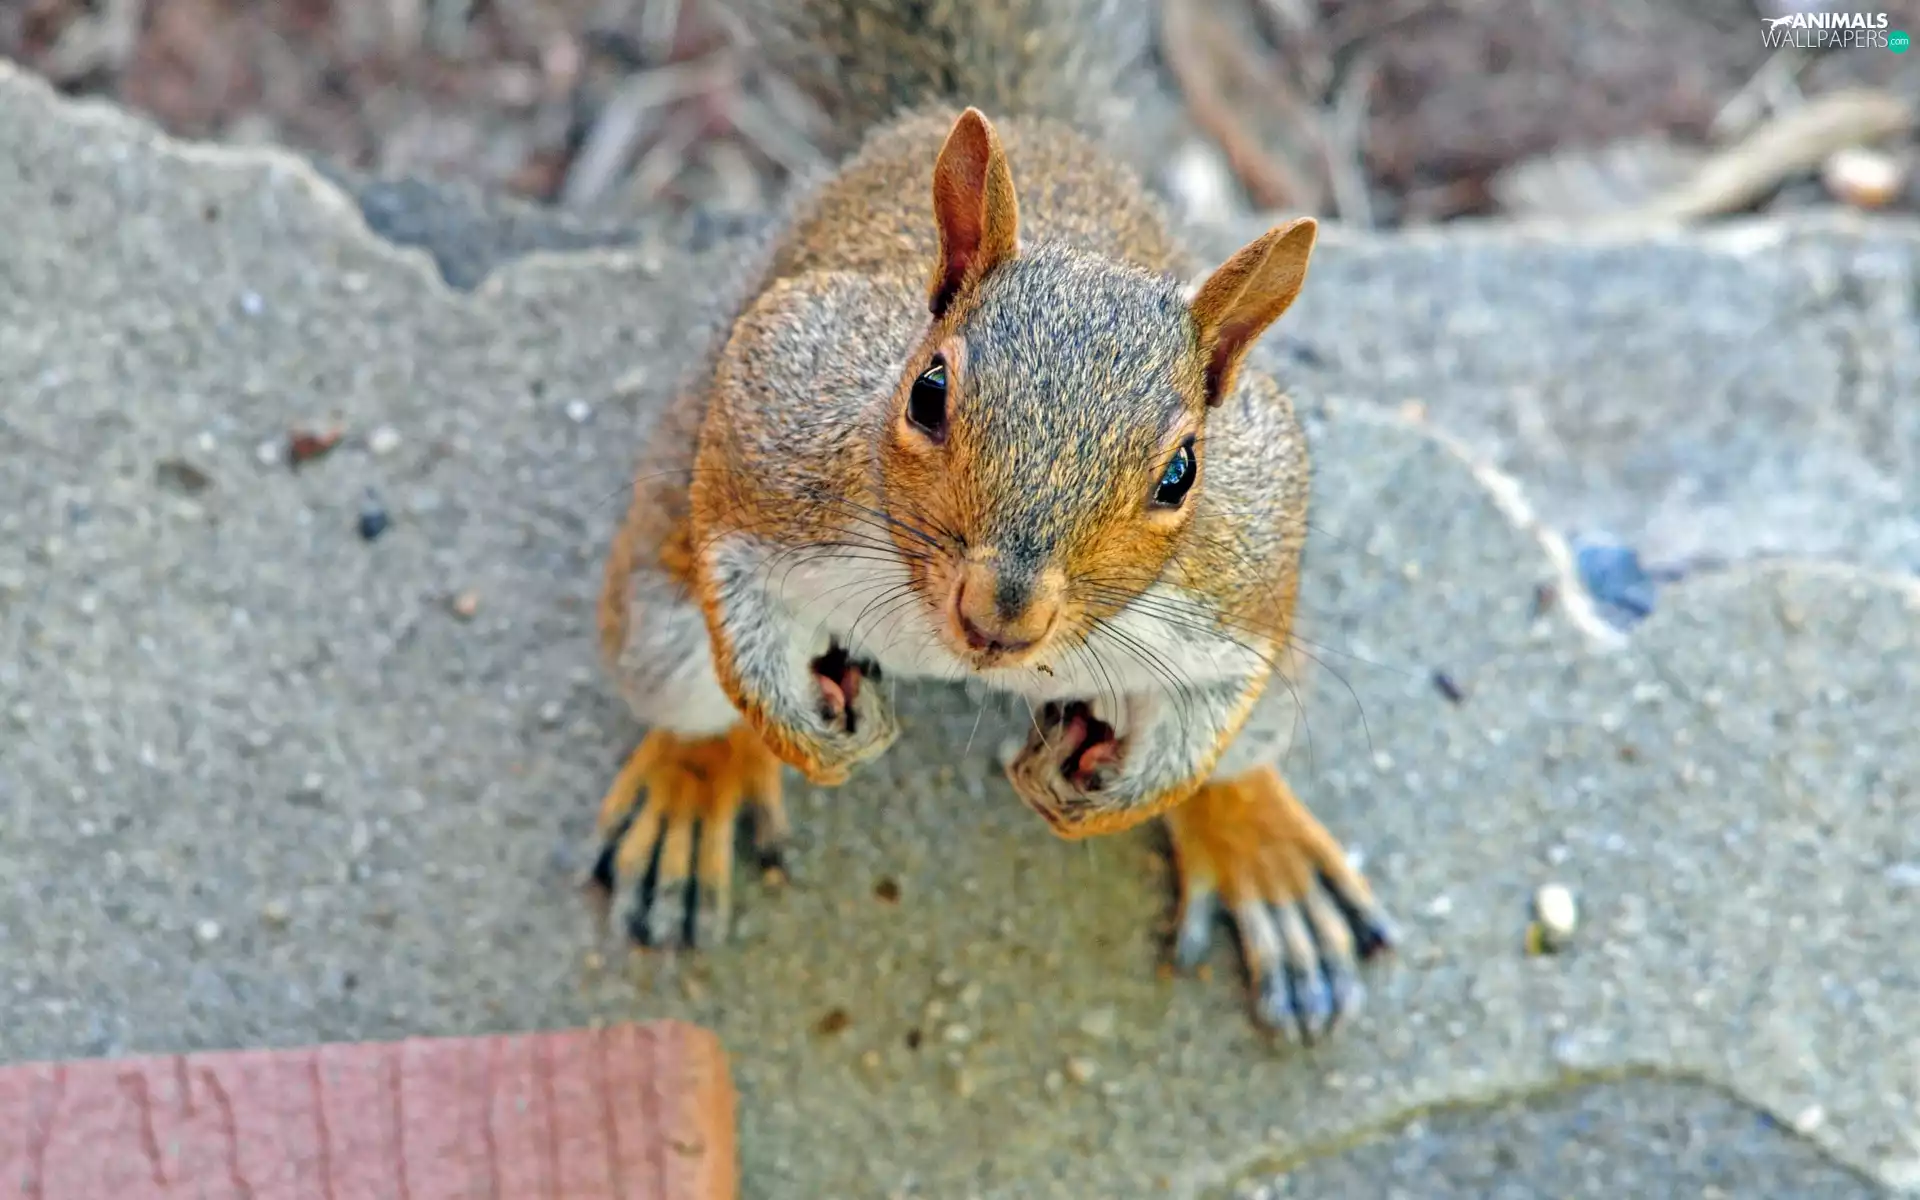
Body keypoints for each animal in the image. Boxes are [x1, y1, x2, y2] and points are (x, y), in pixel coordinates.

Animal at [588, 0, 1399, 1039]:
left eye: (1182, 472)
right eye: (927, 390)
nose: (1000, 615)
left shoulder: (1243, 561)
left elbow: (1214, 706)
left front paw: (1121, 796)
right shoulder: (775, 409)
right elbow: (733, 585)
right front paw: (797, 730)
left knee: (1245, 752)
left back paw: (1264, 849)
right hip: (658, 605)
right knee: (682, 675)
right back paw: (693, 783)